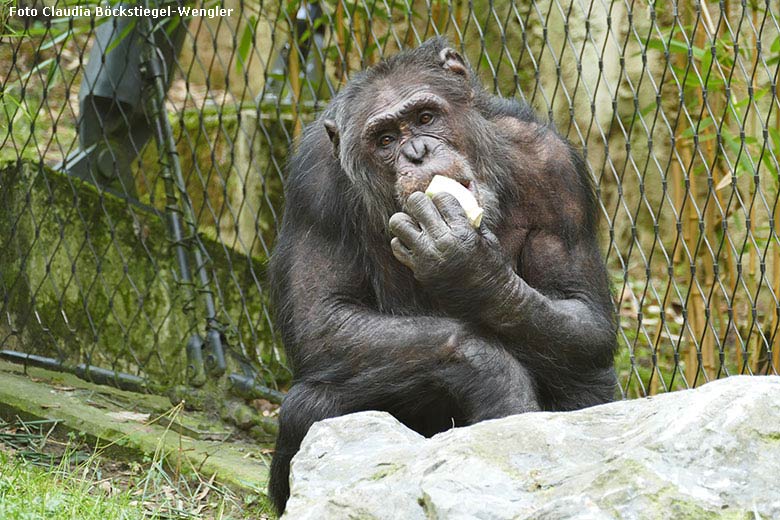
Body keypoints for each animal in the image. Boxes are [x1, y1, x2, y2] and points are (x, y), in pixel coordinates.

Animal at [266, 38, 616, 512]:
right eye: (386, 139)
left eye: (425, 118)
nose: (417, 153)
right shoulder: (312, 186)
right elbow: (323, 320)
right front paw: (495, 380)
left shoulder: (556, 169)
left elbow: (586, 317)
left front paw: (468, 269)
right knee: (310, 407)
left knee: (586, 378)